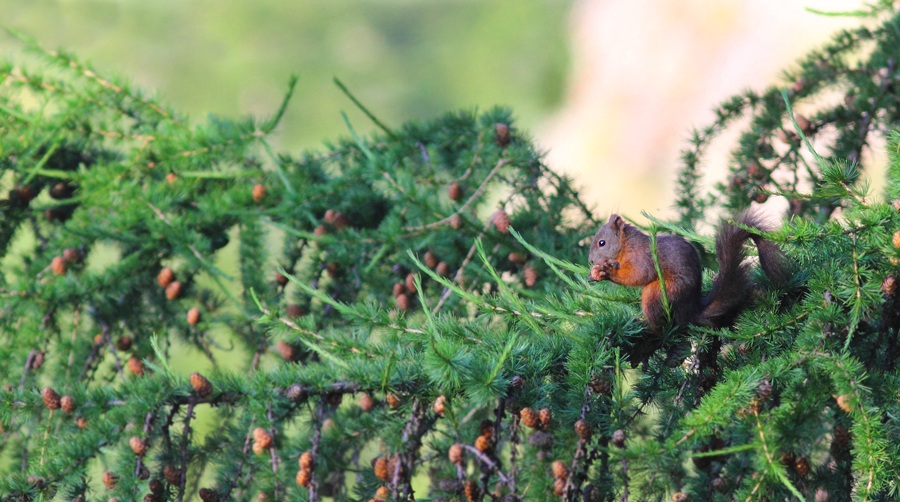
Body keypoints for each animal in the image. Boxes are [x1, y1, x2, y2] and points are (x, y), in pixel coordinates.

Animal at [588, 212, 788, 333]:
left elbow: (639, 275)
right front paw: (595, 274)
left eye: (601, 243)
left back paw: (647, 325)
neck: (625, 246)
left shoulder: (642, 257)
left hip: (660, 293)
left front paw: (608, 272)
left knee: (662, 323)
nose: (590, 261)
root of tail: (692, 311)